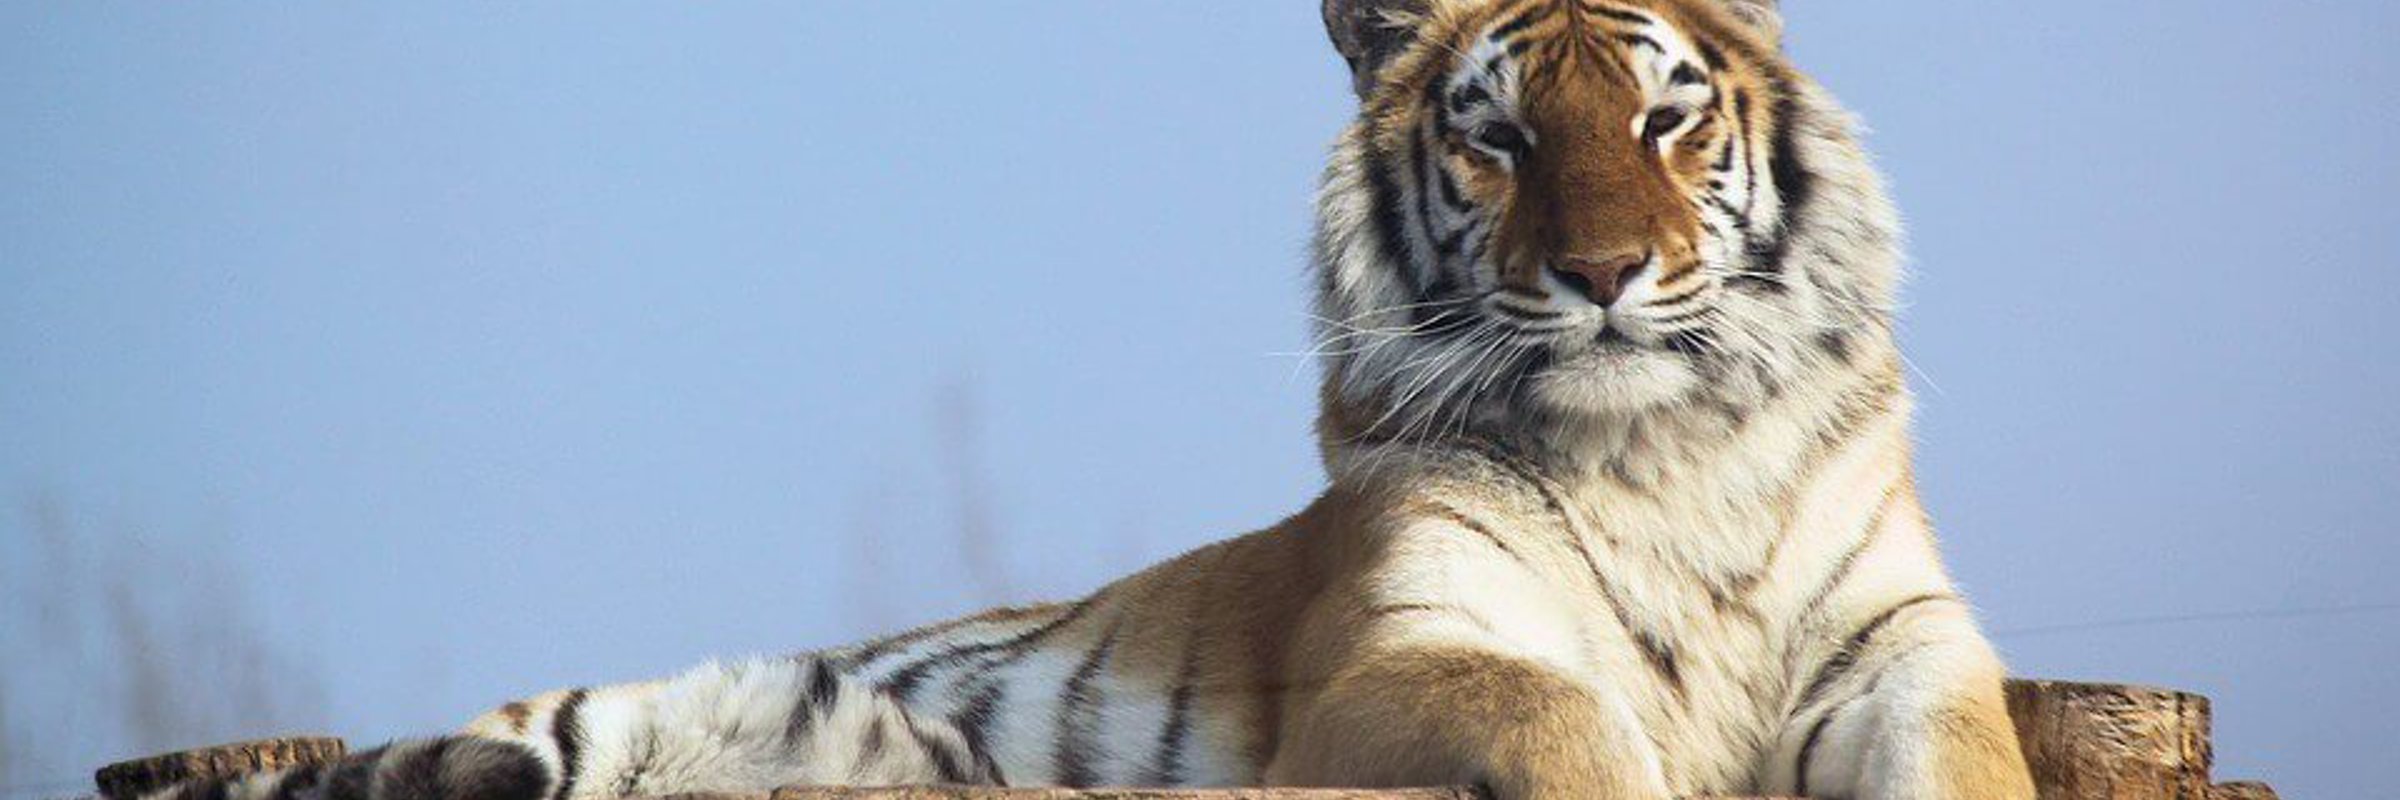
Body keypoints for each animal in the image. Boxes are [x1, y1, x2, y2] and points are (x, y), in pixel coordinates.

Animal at [130, 1, 2035, 799]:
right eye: (1496, 139)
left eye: (1665, 121)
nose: (1606, 273)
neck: (1661, 454)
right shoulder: (1397, 660)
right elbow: (1558, 714)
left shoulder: (1904, 652)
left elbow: (1969, 761)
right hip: (606, 713)